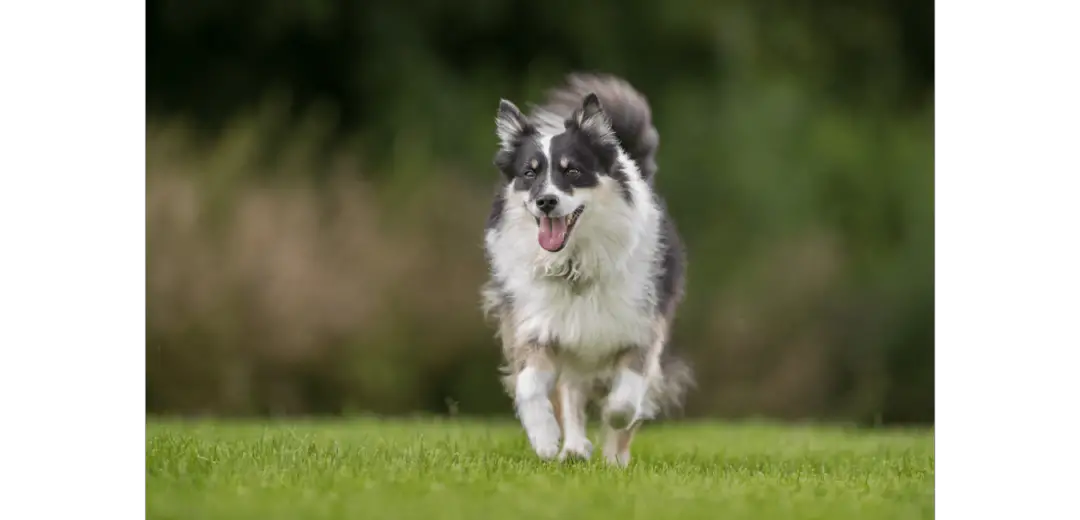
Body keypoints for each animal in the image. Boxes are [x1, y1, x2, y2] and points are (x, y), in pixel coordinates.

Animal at [481, 74, 691, 467]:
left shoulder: (641, 331)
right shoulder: (536, 326)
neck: (574, 265)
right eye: (529, 173)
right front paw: (546, 440)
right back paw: (575, 448)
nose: (546, 201)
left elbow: (625, 402)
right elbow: (530, 387)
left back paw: (612, 458)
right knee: (571, 393)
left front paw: (613, 422)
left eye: (573, 170)